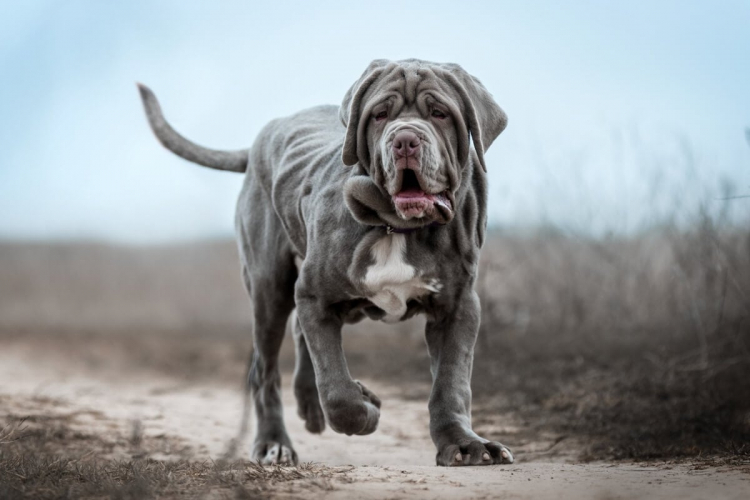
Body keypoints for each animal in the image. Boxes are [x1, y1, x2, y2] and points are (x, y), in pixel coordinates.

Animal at [138, 57, 516, 464]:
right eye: (380, 114)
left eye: (439, 113)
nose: (404, 141)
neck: (396, 227)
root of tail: (262, 136)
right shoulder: (315, 295)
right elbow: (336, 390)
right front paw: (365, 408)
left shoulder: (458, 306)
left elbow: (451, 383)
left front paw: (464, 443)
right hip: (270, 289)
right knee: (266, 369)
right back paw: (273, 443)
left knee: (301, 338)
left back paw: (307, 406)